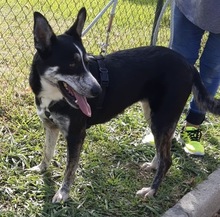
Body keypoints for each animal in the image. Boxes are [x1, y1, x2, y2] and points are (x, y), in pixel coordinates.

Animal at [29, 7, 220, 203]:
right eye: (72, 64)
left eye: (86, 62)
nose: (98, 90)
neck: (52, 97)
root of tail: (189, 65)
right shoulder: (50, 127)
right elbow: (47, 151)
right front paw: (41, 168)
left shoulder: (76, 135)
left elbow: (70, 168)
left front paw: (63, 193)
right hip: (155, 116)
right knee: (163, 150)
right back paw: (154, 166)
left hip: (161, 117)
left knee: (167, 160)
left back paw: (151, 190)